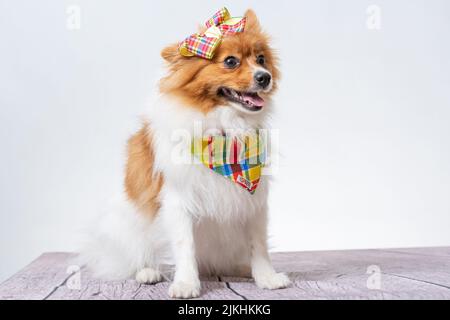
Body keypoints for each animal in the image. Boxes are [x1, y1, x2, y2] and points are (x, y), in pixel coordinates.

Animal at [80, 8, 292, 298]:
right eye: (230, 62)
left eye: (261, 59)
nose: (264, 77)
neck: (224, 131)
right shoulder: (178, 200)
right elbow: (184, 247)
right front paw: (186, 283)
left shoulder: (253, 202)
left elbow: (258, 245)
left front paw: (266, 278)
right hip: (130, 222)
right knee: (141, 254)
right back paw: (148, 271)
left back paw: (240, 269)